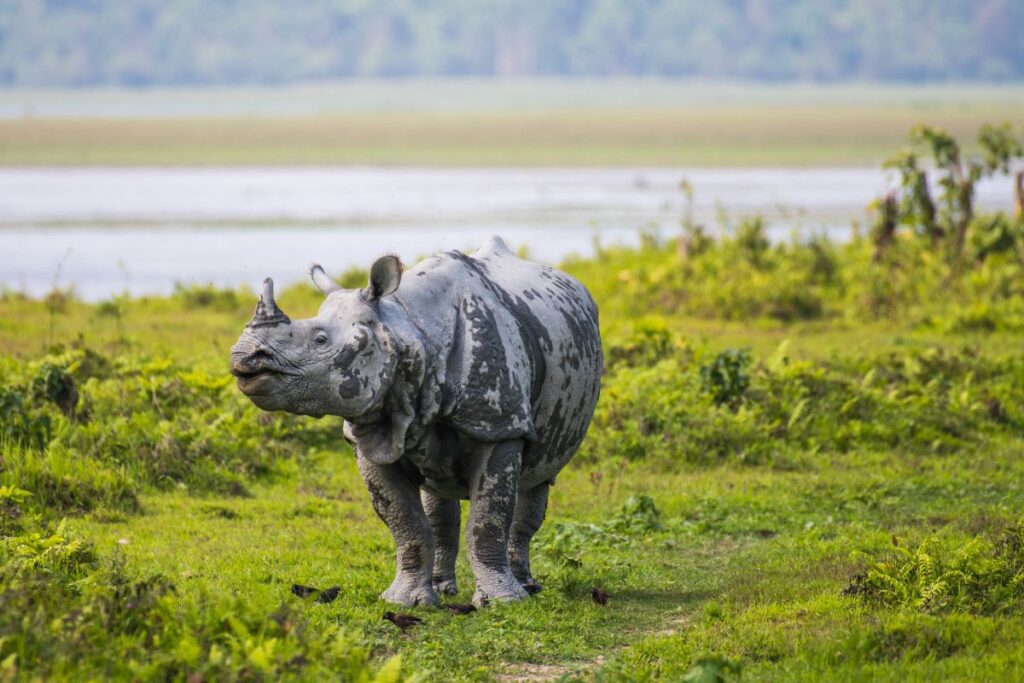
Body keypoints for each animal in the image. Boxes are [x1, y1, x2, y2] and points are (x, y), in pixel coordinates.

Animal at [229, 237, 602, 606]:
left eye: (320, 340)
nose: (243, 357)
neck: (409, 331)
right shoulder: (372, 434)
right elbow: (405, 523)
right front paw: (404, 601)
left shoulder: (500, 424)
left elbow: (487, 521)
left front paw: (502, 602)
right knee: (439, 497)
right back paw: (444, 589)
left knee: (538, 478)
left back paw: (526, 587)